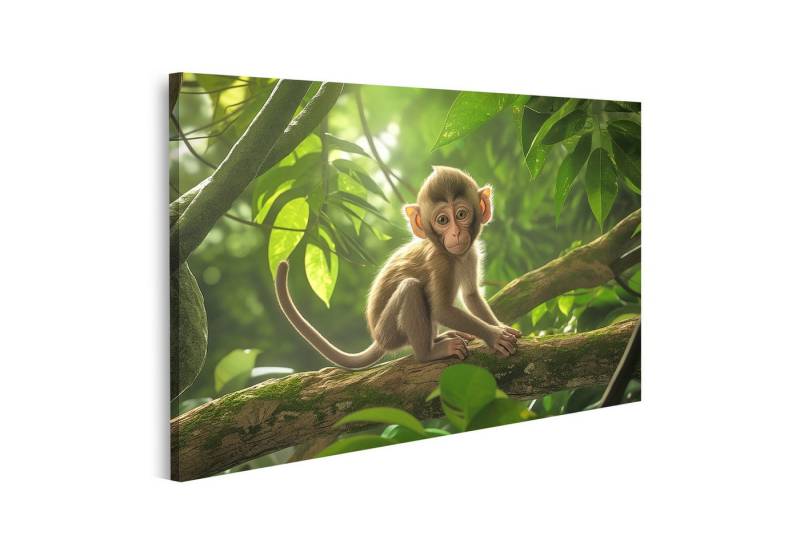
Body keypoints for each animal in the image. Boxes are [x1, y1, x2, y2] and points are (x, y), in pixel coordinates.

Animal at [275, 165, 521, 370]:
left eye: (461, 214)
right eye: (442, 220)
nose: (456, 233)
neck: (451, 255)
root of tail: (377, 337)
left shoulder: (470, 254)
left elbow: (471, 296)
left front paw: (500, 327)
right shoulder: (438, 261)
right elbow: (442, 309)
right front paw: (495, 336)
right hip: (390, 332)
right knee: (411, 288)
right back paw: (429, 352)